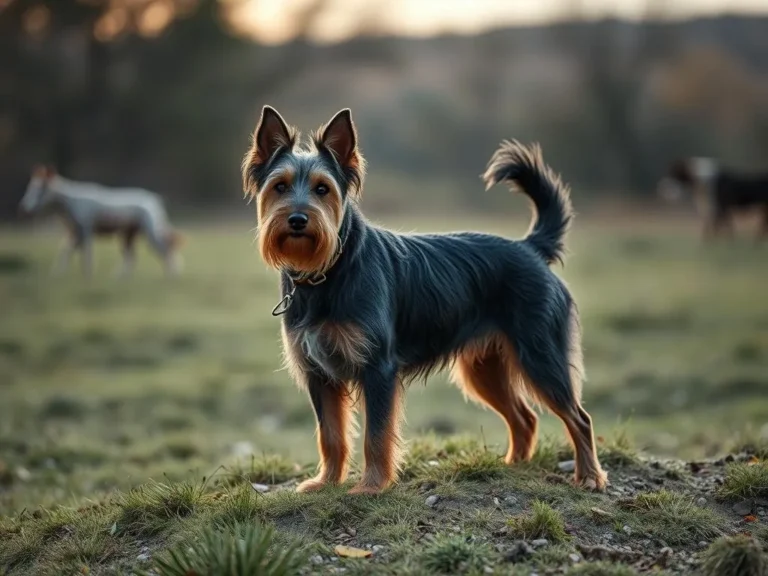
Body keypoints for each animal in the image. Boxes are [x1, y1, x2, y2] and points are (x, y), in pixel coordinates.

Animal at [18, 164, 186, 276]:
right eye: (30, 187)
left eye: (39, 189)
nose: (23, 206)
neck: (68, 203)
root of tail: (154, 198)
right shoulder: (74, 233)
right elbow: (64, 253)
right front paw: (56, 275)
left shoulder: (85, 230)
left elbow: (87, 256)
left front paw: (87, 277)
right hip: (127, 235)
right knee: (132, 258)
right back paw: (119, 279)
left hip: (150, 233)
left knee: (167, 251)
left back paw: (171, 278)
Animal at [243, 106, 608, 492]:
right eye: (280, 186)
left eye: (322, 189)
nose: (298, 219)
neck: (329, 269)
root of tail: (530, 248)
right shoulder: (319, 374)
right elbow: (330, 435)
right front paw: (326, 482)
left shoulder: (378, 369)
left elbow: (376, 436)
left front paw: (371, 487)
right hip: (485, 368)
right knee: (524, 418)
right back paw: (514, 466)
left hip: (540, 357)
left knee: (579, 418)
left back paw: (589, 476)